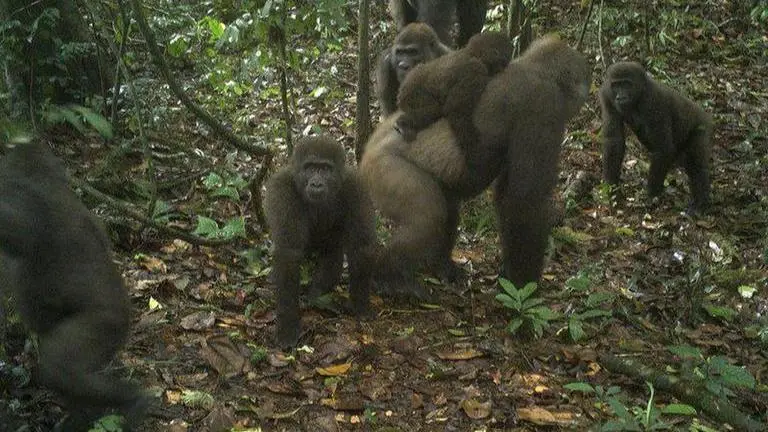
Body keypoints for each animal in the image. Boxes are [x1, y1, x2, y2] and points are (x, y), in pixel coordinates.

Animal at [264, 136, 377, 348]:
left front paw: (359, 304)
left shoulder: (355, 187)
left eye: (325, 169)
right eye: (310, 168)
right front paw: (287, 325)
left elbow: (360, 245)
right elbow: (288, 253)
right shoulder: (282, 189)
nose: (316, 184)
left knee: (332, 255)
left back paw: (318, 296)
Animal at [360, 34, 590, 294]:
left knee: (447, 206)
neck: (535, 67)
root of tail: (365, 151)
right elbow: (524, 201)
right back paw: (388, 277)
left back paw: (439, 266)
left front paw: (509, 276)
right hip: (381, 169)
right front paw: (523, 288)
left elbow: (507, 197)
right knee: (426, 217)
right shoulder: (544, 106)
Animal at [599, 61, 713, 214]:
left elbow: (663, 149)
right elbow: (614, 141)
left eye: (626, 84)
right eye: (616, 85)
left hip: (702, 125)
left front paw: (651, 195)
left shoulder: (655, 100)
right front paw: (612, 189)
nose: (620, 96)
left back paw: (701, 204)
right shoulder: (607, 95)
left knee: (696, 163)